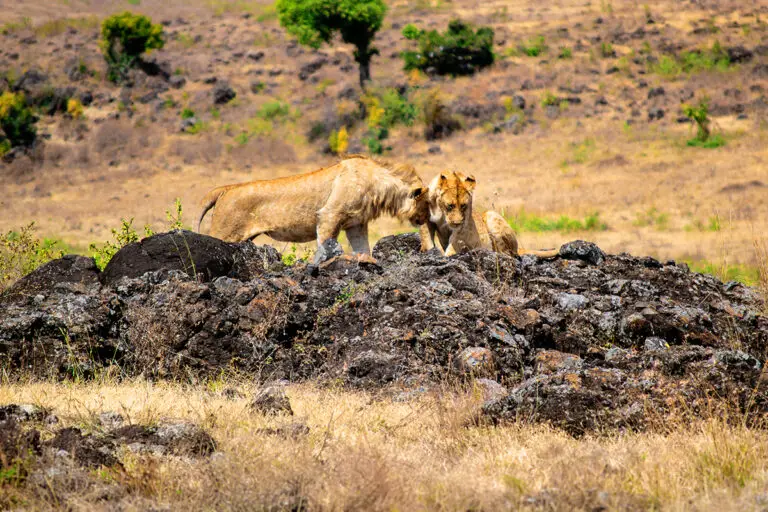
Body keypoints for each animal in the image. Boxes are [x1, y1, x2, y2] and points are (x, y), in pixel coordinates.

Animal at [198, 155, 429, 254]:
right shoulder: (329, 215)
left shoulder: (356, 224)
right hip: (226, 233)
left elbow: (363, 249)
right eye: (427, 205)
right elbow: (326, 244)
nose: (425, 219)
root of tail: (227, 188)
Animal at [419, 170, 559, 258]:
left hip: (490, 215)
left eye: (464, 205)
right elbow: (426, 237)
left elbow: (454, 242)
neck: (441, 212)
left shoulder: (463, 226)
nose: (457, 223)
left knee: (508, 254)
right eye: (450, 205)